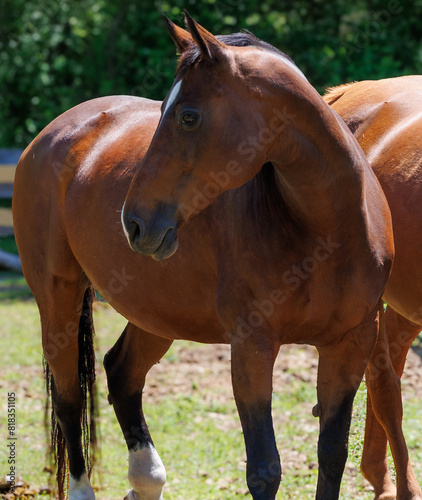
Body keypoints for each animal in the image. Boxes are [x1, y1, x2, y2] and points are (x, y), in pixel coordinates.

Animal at [12, 14, 412, 500]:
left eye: (188, 116)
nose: (134, 223)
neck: (325, 232)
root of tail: (51, 136)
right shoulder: (252, 347)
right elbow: (265, 469)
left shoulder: (350, 345)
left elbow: (333, 454)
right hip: (58, 297)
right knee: (69, 395)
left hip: (157, 314)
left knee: (121, 373)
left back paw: (146, 480)